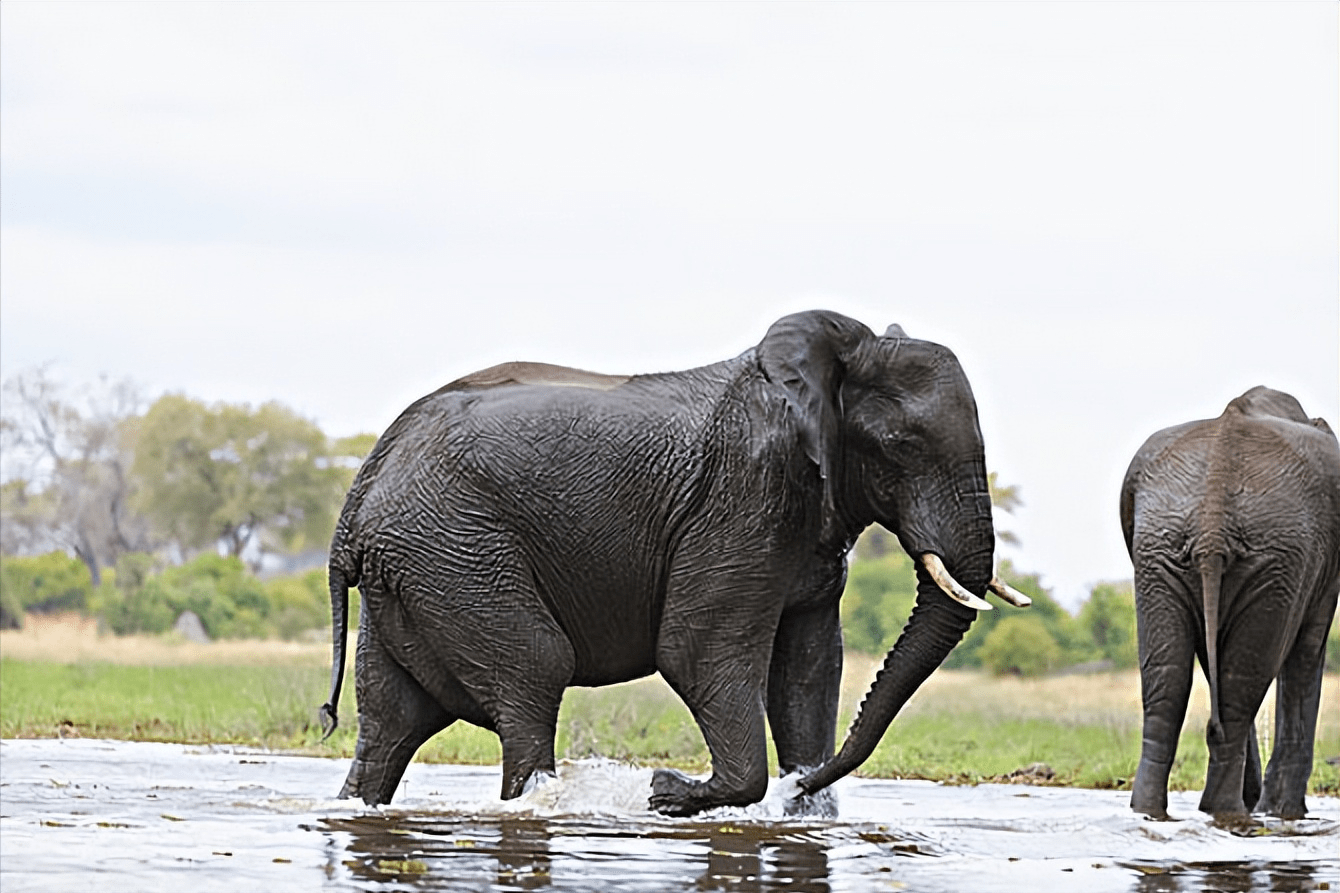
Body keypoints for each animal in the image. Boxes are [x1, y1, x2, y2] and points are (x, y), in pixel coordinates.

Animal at [318, 311, 1029, 815]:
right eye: (901, 445)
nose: (664, 784)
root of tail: (356, 500)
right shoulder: (742, 497)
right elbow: (696, 651)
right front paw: (671, 796)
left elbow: (809, 667)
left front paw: (800, 807)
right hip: (455, 552)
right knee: (535, 673)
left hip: (413, 571)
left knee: (391, 720)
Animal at [1120, 386, 1340, 815]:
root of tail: (1213, 515)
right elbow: (1307, 651)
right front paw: (1283, 812)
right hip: (1273, 558)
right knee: (1242, 685)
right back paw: (1227, 810)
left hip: (1160, 551)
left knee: (1168, 686)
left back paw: (1153, 811)